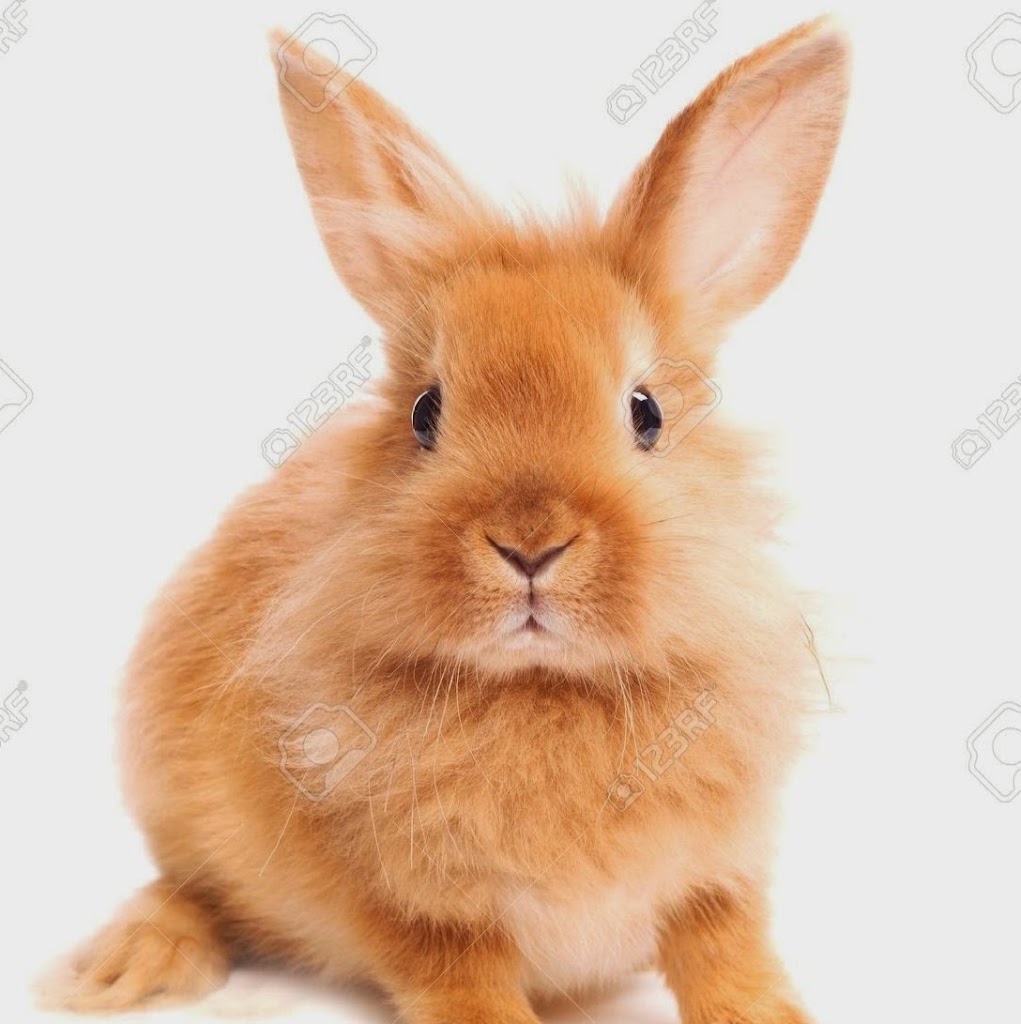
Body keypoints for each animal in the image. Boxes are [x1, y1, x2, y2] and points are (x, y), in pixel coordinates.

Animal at [45, 15, 849, 1024]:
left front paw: (773, 1015)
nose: (530, 543)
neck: (545, 693)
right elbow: (459, 977)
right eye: (426, 413)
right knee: (189, 889)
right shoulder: (412, 909)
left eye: (646, 413)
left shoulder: (719, 877)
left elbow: (727, 955)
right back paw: (124, 966)